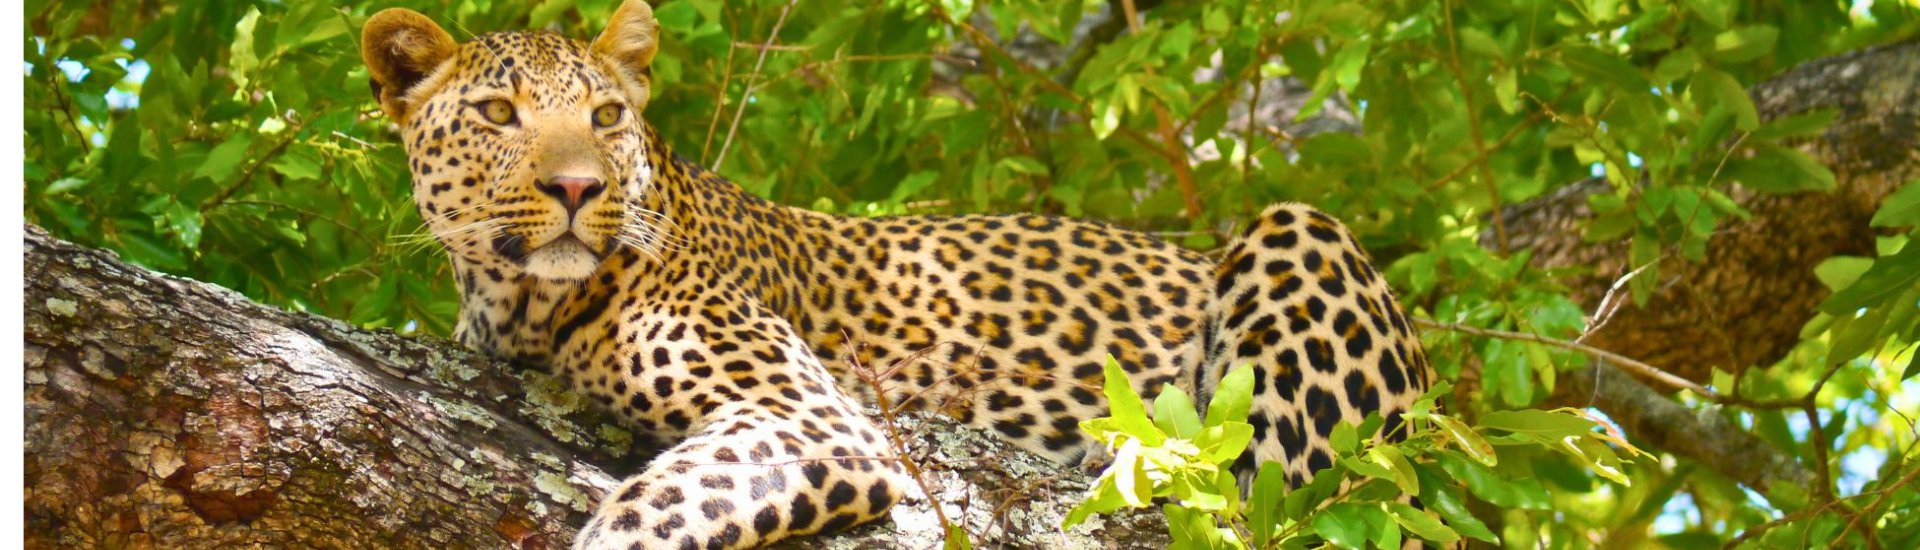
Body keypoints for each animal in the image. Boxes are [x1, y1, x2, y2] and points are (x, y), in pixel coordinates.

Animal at [360, 2, 1434, 548]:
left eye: (606, 116)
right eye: (498, 114)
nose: (579, 187)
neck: (522, 305)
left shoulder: (810, 419)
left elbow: (641, 520)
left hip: (1302, 239)